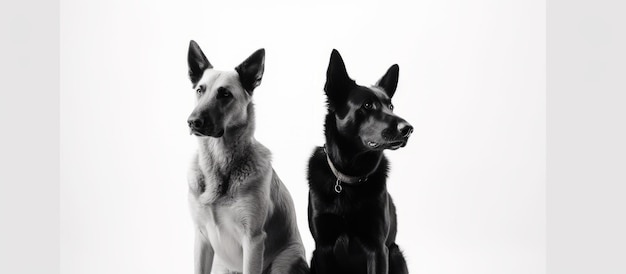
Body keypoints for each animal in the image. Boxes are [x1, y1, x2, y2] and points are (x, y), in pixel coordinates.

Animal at [306, 49, 412, 274]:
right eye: (367, 105)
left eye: (391, 106)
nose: (408, 129)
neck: (349, 178)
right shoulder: (323, 248)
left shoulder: (378, 248)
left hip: (395, 253)